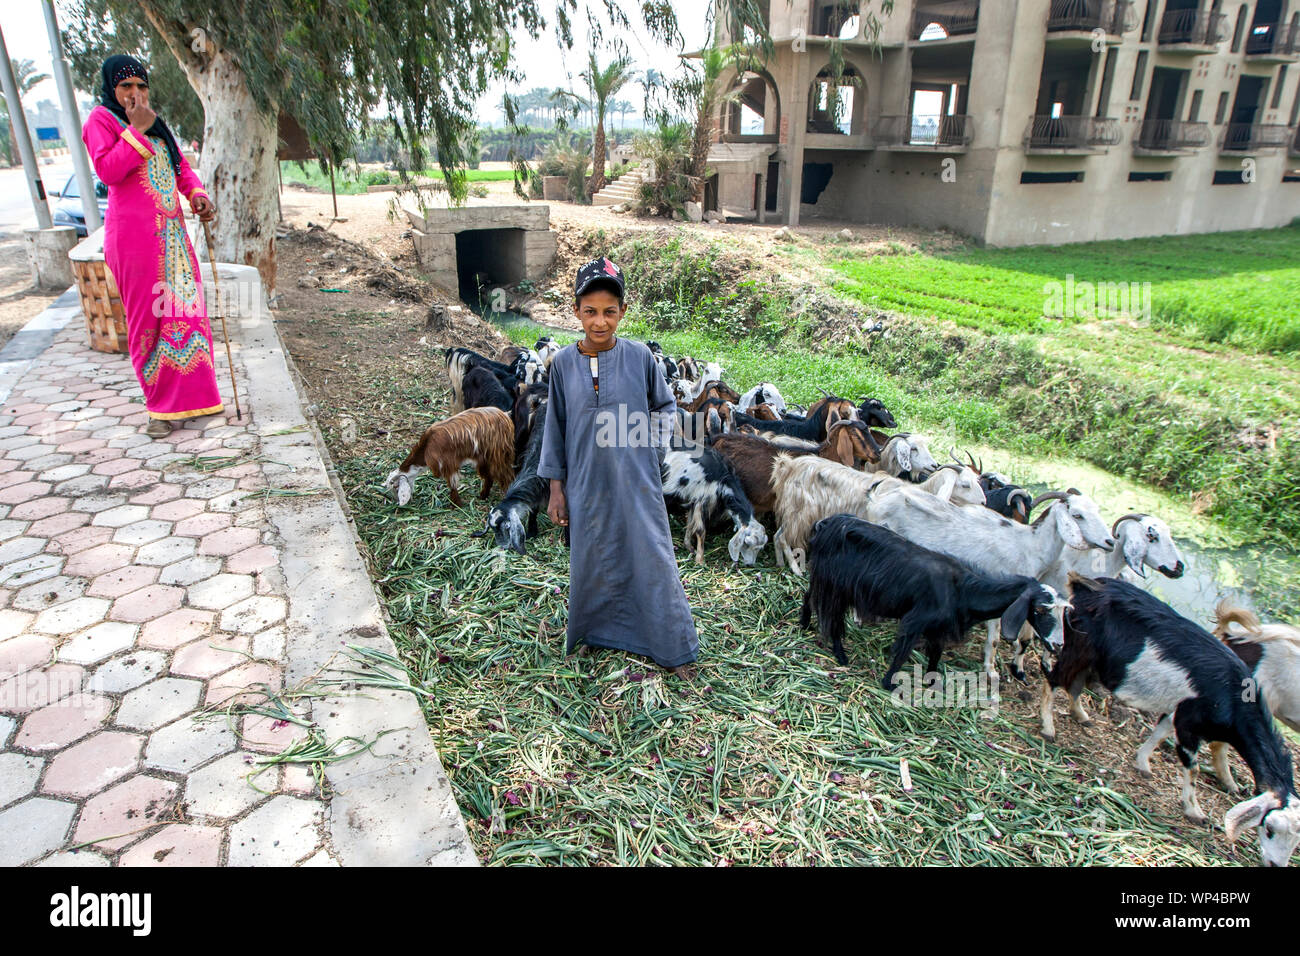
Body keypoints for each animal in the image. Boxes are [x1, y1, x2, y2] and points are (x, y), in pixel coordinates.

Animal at [382, 405, 514, 509]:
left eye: (396, 487)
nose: (397, 502)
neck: (426, 447)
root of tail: (505, 415)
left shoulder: (447, 464)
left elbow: (453, 485)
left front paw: (456, 505)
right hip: (483, 457)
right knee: (489, 476)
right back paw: (483, 496)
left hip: (498, 453)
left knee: (506, 475)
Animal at [790, 515, 1066, 686]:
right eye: (1041, 609)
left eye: (1064, 612)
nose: (1058, 644)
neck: (963, 590)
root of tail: (825, 523)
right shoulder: (917, 620)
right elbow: (902, 653)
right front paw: (889, 683)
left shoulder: (938, 628)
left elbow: (935, 655)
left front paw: (933, 682)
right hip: (835, 585)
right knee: (832, 618)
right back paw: (841, 655)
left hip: (824, 578)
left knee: (809, 595)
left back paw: (804, 623)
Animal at [1045, 572, 1300, 868]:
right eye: (1269, 828)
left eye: (1296, 841)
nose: (1275, 864)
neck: (1233, 696)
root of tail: (1086, 583)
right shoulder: (1189, 723)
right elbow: (1193, 767)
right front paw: (1194, 811)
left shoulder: (1179, 709)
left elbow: (1160, 731)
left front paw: (1142, 764)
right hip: (1078, 646)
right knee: (1054, 678)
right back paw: (1047, 727)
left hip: (1091, 658)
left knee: (1074, 684)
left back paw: (1081, 715)